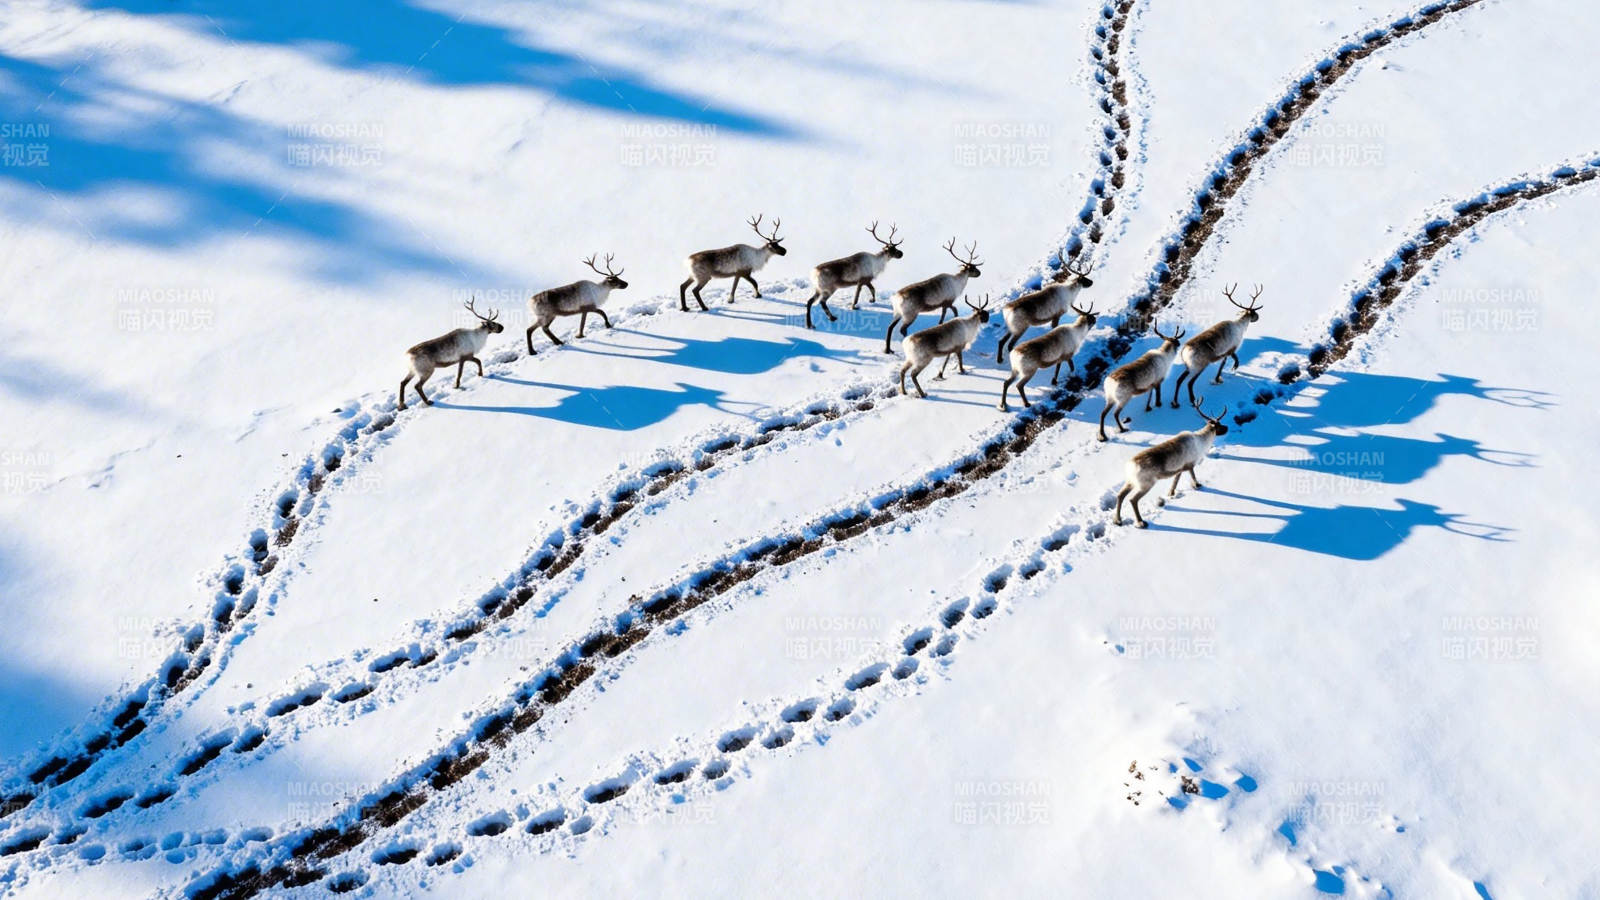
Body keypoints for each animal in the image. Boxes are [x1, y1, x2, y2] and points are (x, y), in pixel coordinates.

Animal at [1114, 399, 1229, 528]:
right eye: (1219, 425)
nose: (1227, 427)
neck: (1201, 441)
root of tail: (1130, 466)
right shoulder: (1190, 464)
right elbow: (1193, 476)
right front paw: (1197, 485)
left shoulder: (1179, 469)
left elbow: (1175, 481)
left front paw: (1171, 493)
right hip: (1146, 484)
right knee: (1132, 500)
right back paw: (1141, 522)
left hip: (1130, 481)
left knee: (1120, 495)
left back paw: (1117, 520)